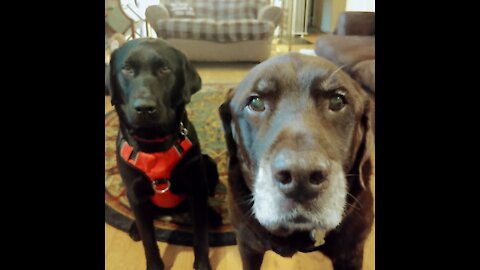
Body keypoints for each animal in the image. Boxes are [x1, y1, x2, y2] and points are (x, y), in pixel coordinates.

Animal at [109, 38, 221, 270]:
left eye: (164, 69)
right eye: (126, 69)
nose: (144, 108)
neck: (154, 145)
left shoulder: (196, 188)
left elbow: (201, 237)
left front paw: (202, 265)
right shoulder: (136, 194)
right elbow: (149, 241)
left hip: (208, 164)